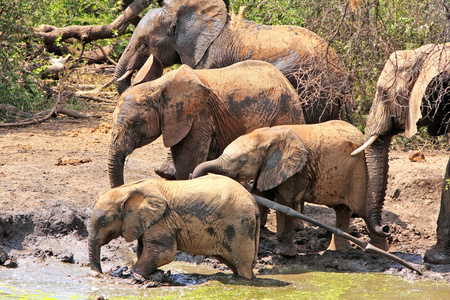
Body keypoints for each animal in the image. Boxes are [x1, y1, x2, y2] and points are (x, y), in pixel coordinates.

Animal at [88, 175, 260, 280]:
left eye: (103, 223)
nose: (99, 274)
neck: (128, 189)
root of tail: (254, 204)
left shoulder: (162, 218)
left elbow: (164, 251)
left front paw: (134, 275)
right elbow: (143, 248)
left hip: (239, 227)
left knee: (242, 265)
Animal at [193, 120, 390, 256]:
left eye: (241, 161)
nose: (194, 177)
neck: (267, 135)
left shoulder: (295, 170)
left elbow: (285, 203)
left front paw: (284, 255)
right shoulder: (268, 169)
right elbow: (260, 197)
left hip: (361, 174)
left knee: (362, 210)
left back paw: (378, 252)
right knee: (342, 210)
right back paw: (338, 251)